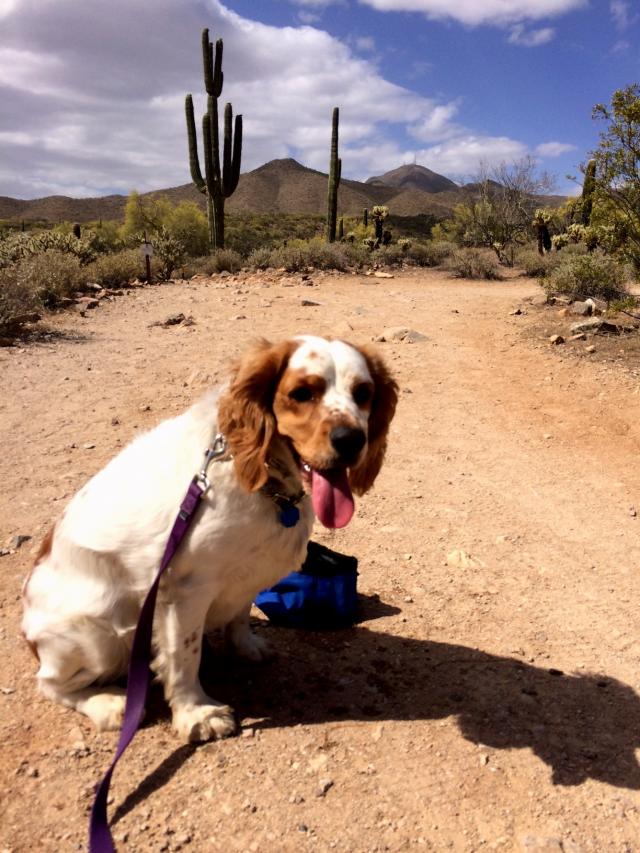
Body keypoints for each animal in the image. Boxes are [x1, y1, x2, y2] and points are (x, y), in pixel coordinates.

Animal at [22, 336, 398, 742]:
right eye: (301, 393)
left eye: (363, 393)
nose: (351, 439)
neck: (260, 479)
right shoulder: (186, 589)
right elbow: (184, 657)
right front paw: (196, 713)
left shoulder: (248, 572)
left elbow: (240, 613)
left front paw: (245, 646)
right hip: (96, 637)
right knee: (51, 684)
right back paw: (107, 704)